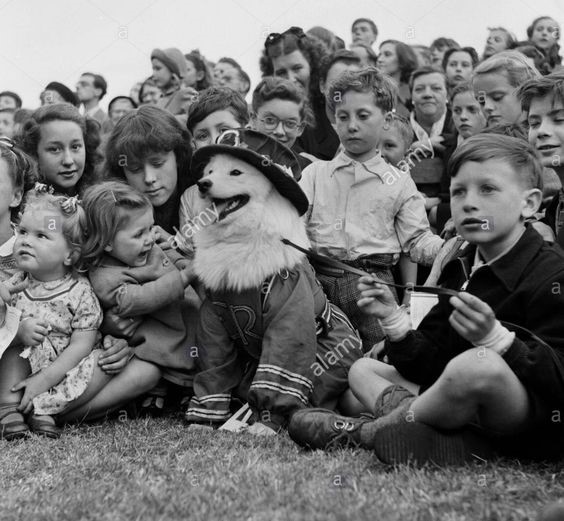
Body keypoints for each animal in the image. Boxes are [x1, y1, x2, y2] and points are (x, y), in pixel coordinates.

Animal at [185, 129, 362, 434]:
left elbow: (281, 366)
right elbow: (213, 372)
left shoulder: (289, 313)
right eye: (209, 172)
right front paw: (203, 421)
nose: (203, 184)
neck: (241, 239)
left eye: (236, 172)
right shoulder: (213, 323)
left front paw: (265, 423)